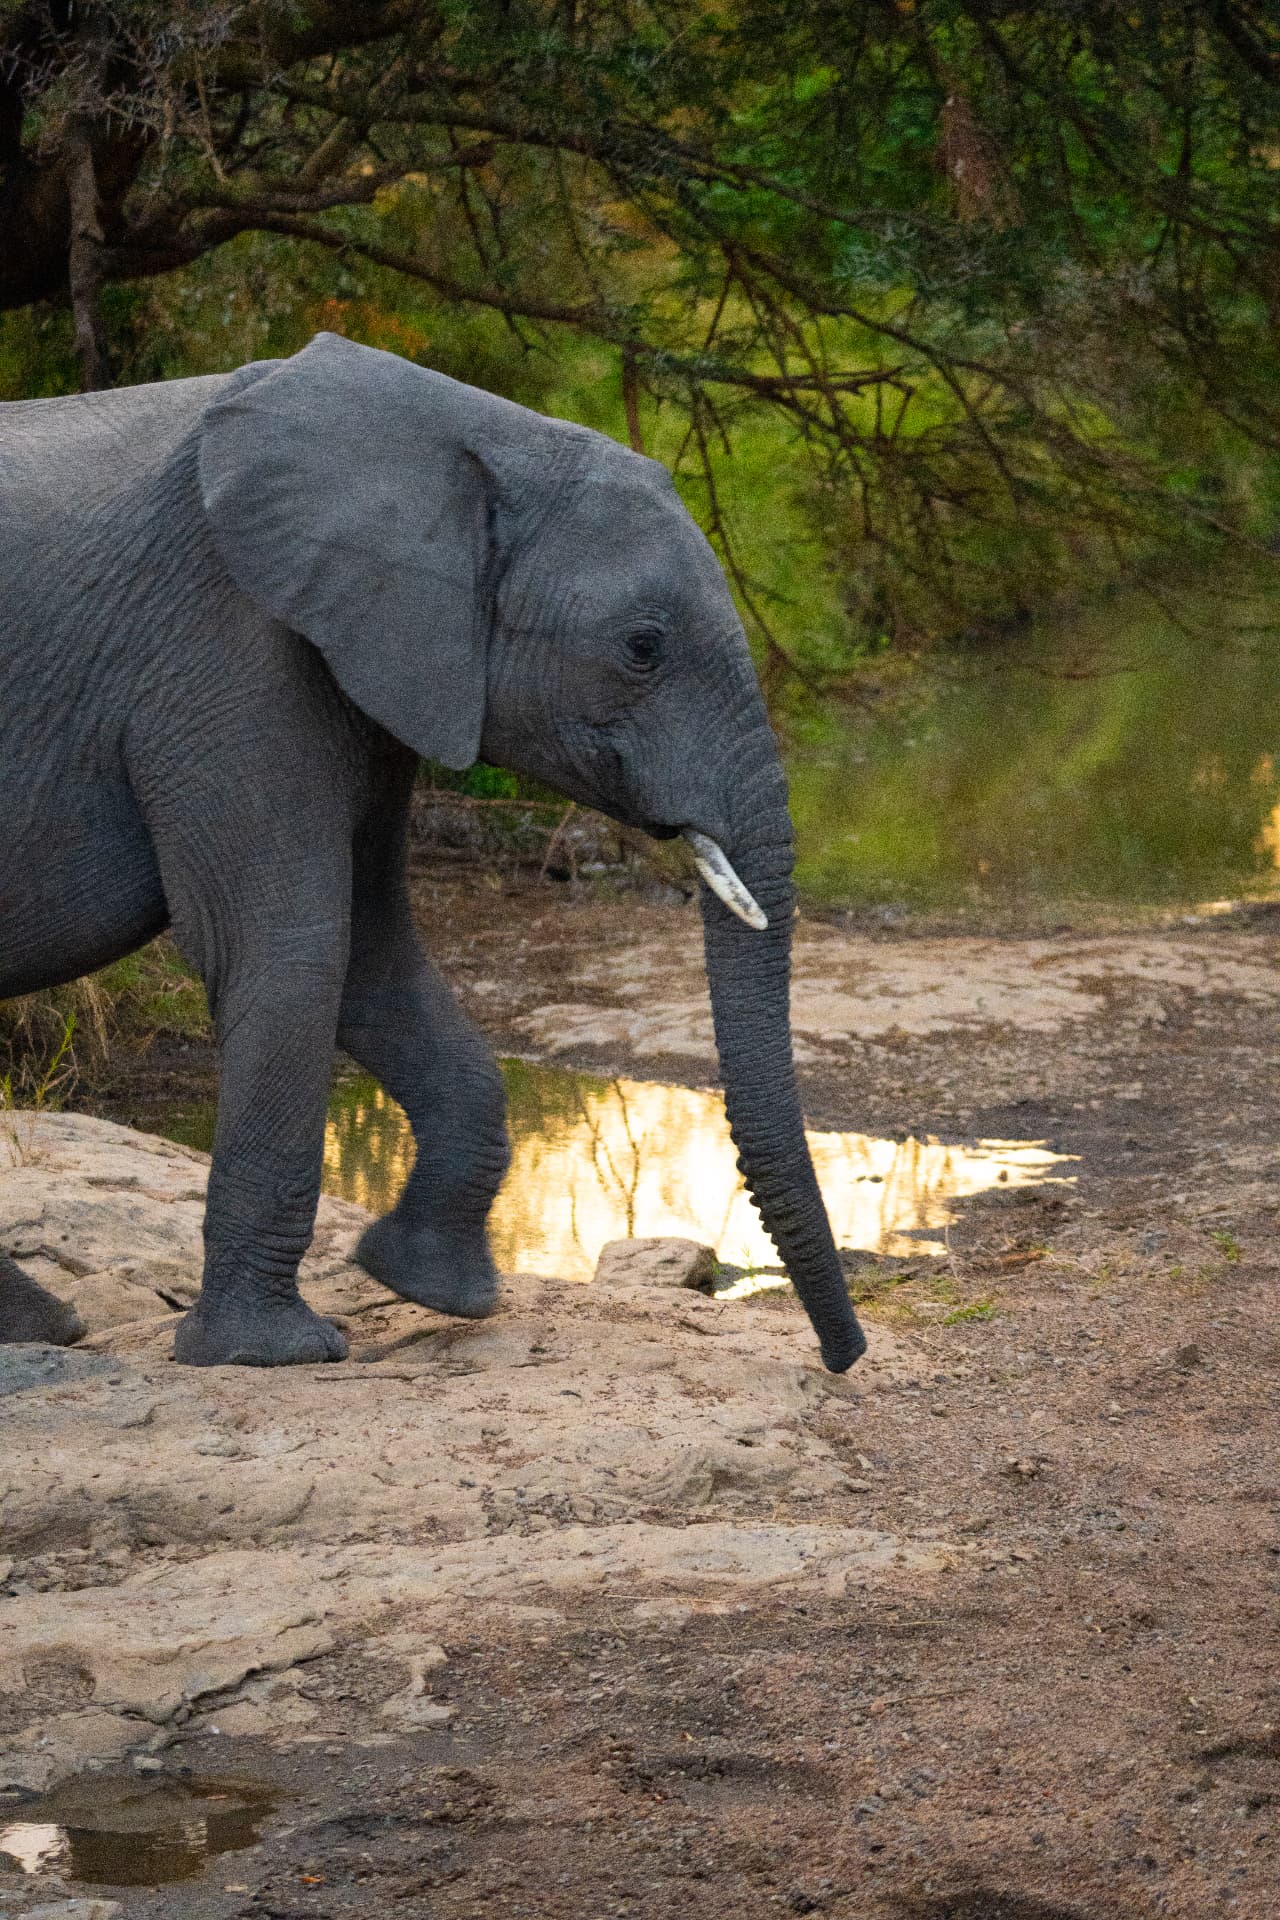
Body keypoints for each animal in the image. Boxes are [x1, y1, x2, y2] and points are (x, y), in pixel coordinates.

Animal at [0, 332, 866, 1374]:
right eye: (642, 647)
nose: (845, 1360)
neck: (469, 437)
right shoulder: (225, 648)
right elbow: (293, 945)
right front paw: (276, 1354)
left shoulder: (378, 662)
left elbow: (374, 949)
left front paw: (434, 1290)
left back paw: (40, 1329)